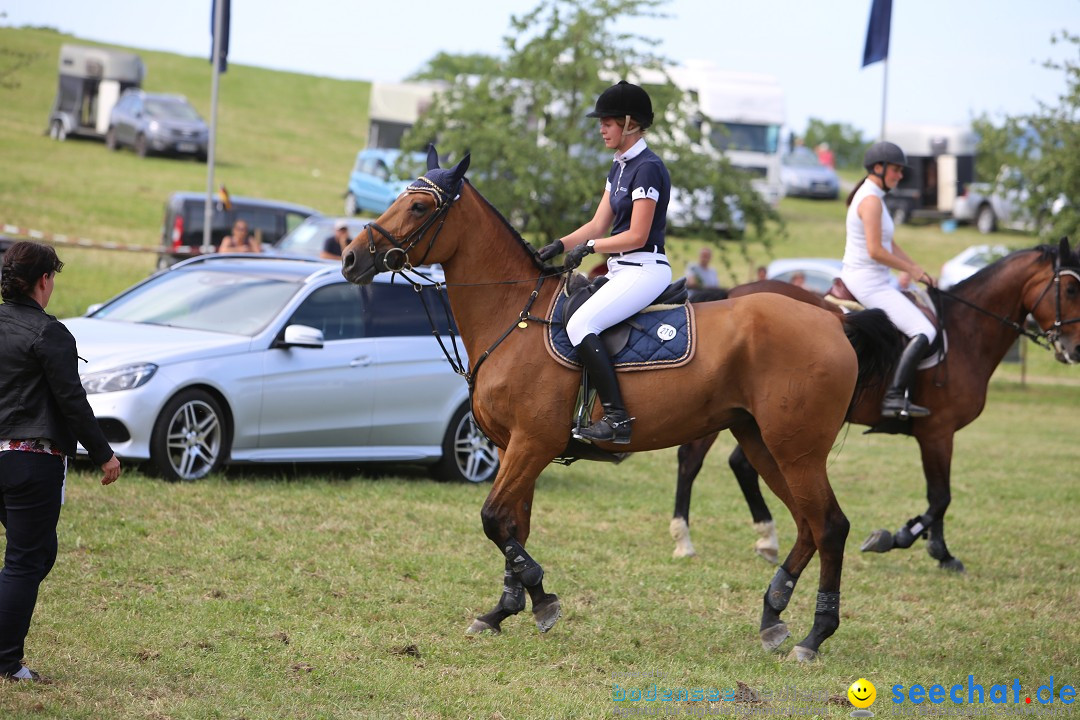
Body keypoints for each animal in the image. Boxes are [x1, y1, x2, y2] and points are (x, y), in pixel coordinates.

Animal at [341, 148, 898, 660]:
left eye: (417, 206)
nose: (350, 259)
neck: (514, 316)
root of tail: (834, 322)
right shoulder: (512, 446)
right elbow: (513, 525)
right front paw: (504, 609)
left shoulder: (533, 443)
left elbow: (493, 518)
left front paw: (540, 601)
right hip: (763, 442)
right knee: (808, 525)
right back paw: (773, 615)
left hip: (797, 450)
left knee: (830, 526)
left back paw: (814, 634)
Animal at [665, 240, 1080, 569]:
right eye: (1071, 288)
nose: (1075, 349)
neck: (965, 332)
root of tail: (731, 294)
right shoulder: (937, 432)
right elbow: (940, 497)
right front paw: (904, 540)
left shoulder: (938, 435)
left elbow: (939, 497)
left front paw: (938, 550)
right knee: (692, 459)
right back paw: (685, 539)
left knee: (737, 464)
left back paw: (765, 539)